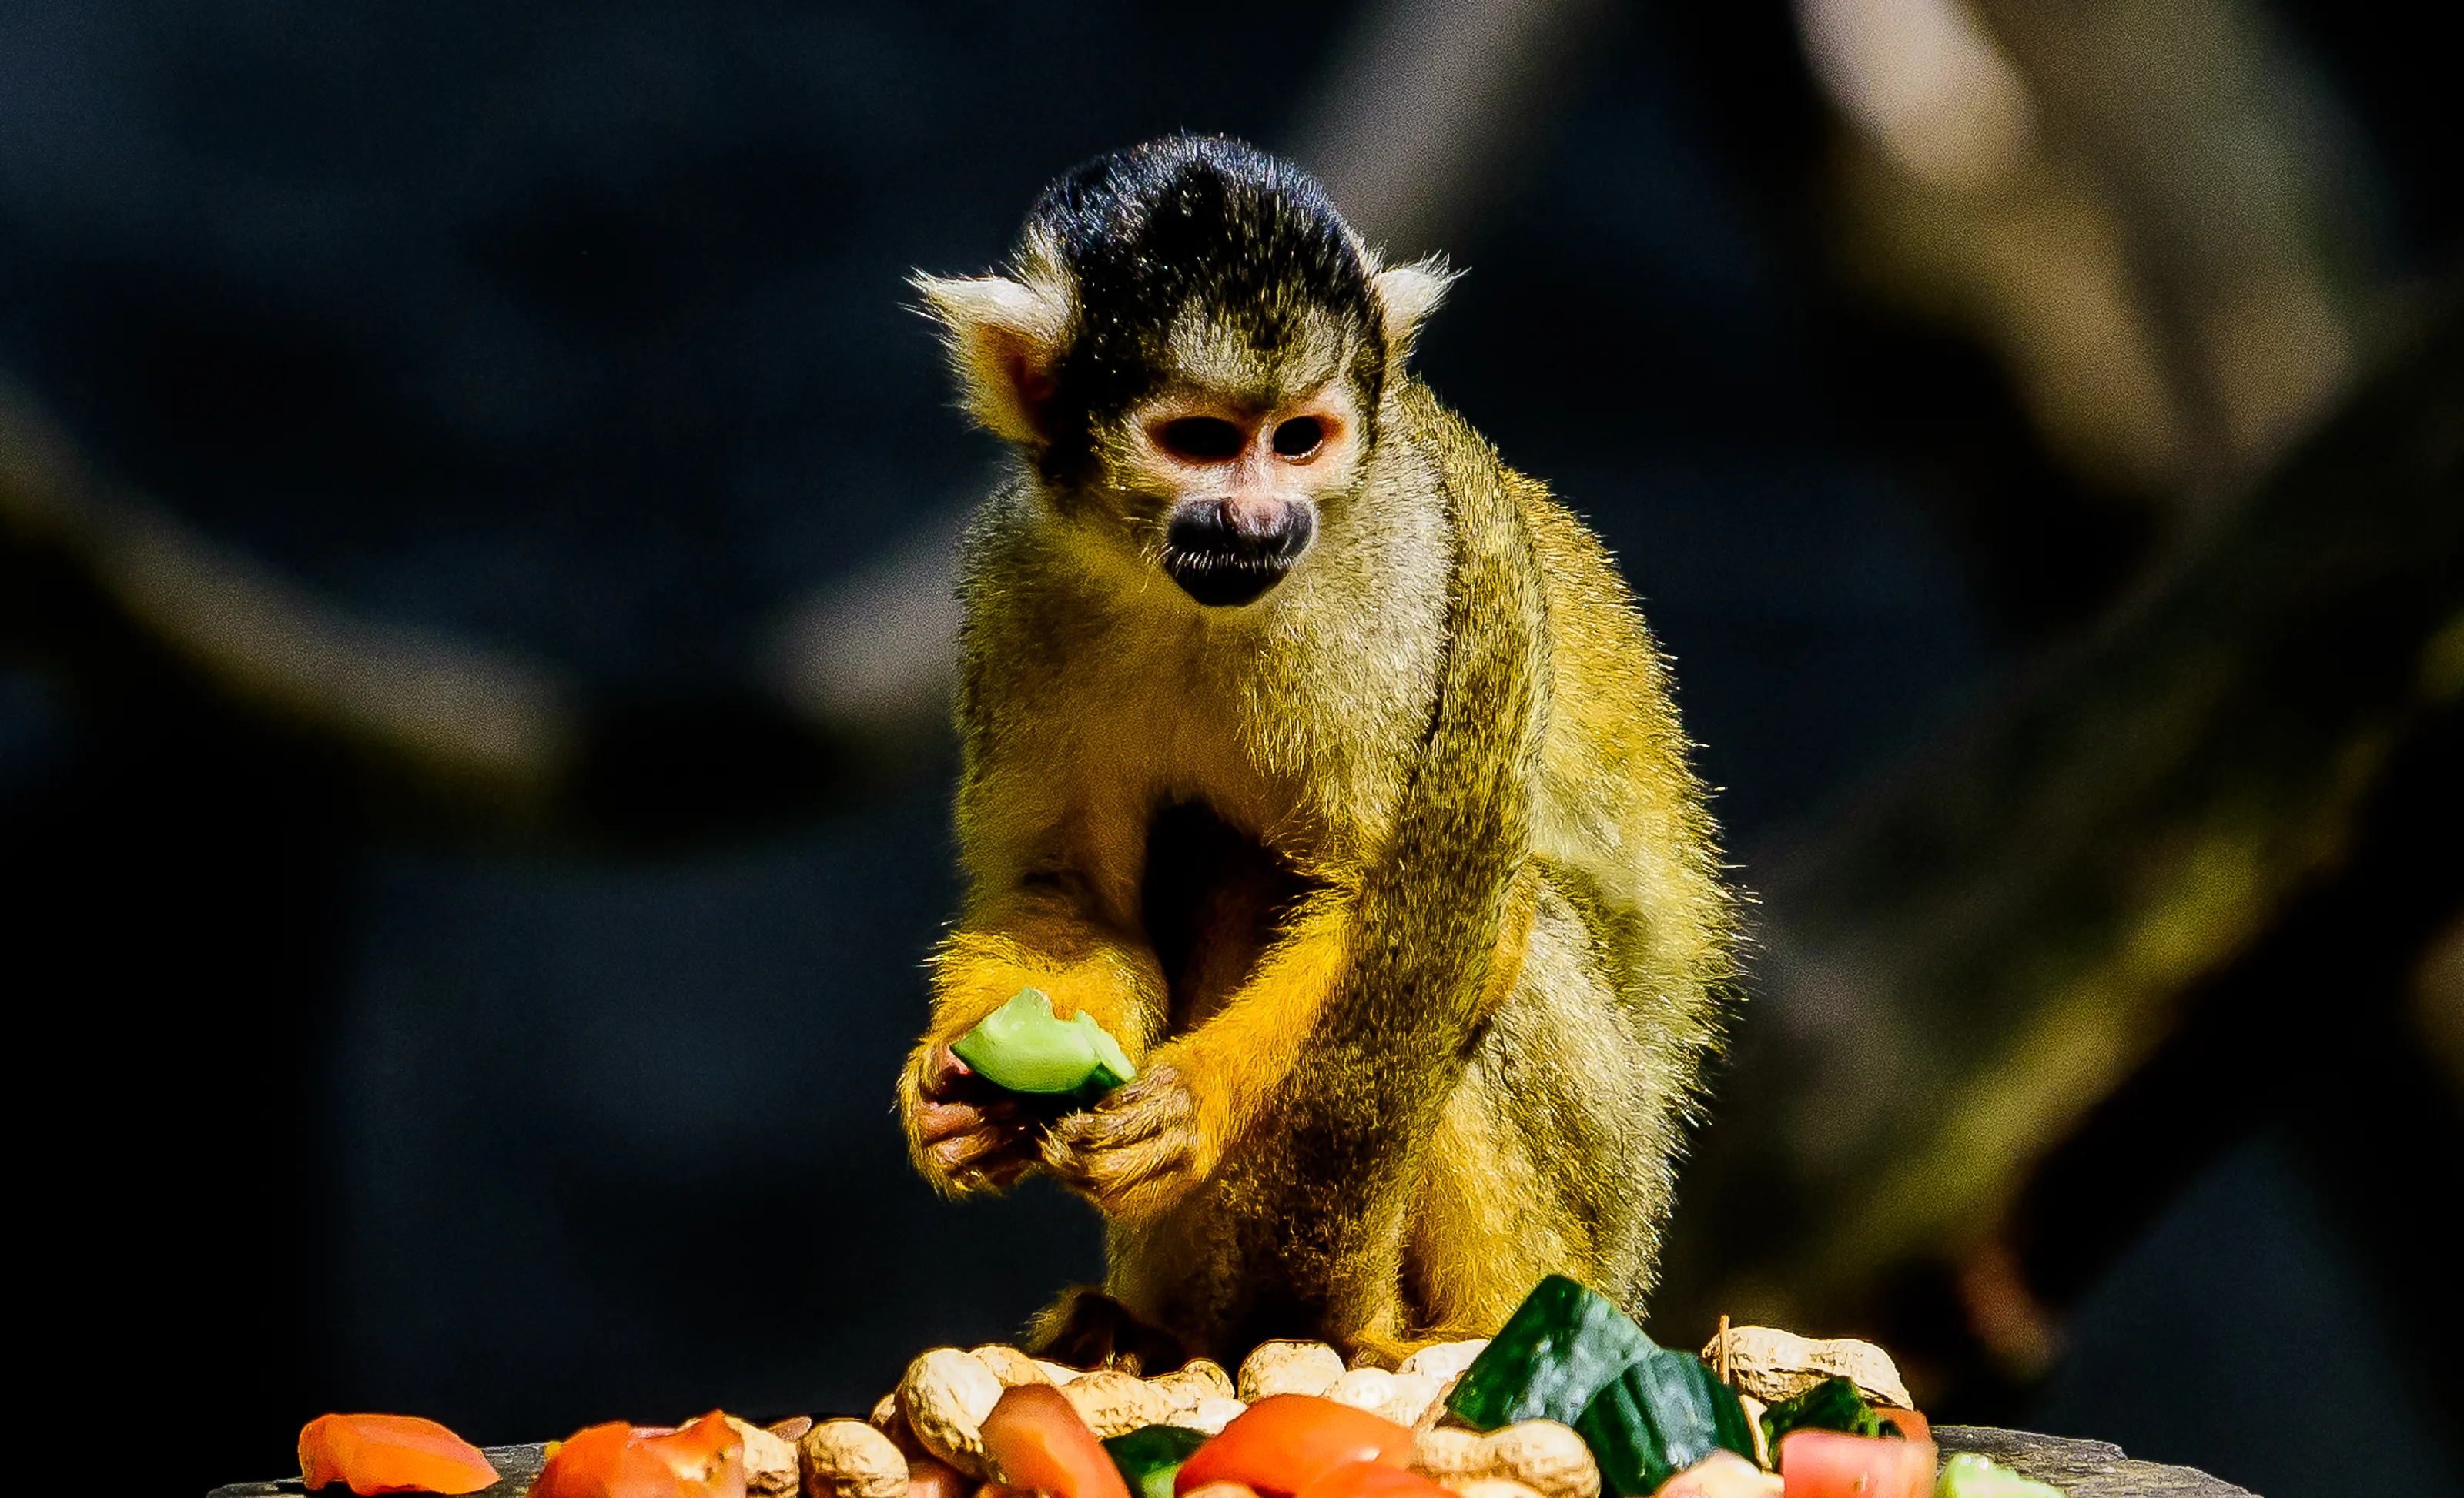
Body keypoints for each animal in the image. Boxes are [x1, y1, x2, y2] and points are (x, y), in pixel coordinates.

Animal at [898, 136, 1734, 1371]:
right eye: (1200, 442)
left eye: (1300, 438)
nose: (1257, 523)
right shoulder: (1016, 580)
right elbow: (1068, 892)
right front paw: (959, 1091)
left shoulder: (1404, 583)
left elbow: (1387, 899)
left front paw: (1191, 1099)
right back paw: (1153, 1322)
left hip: (1611, 1189)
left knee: (1503, 935)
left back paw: (1464, 1331)